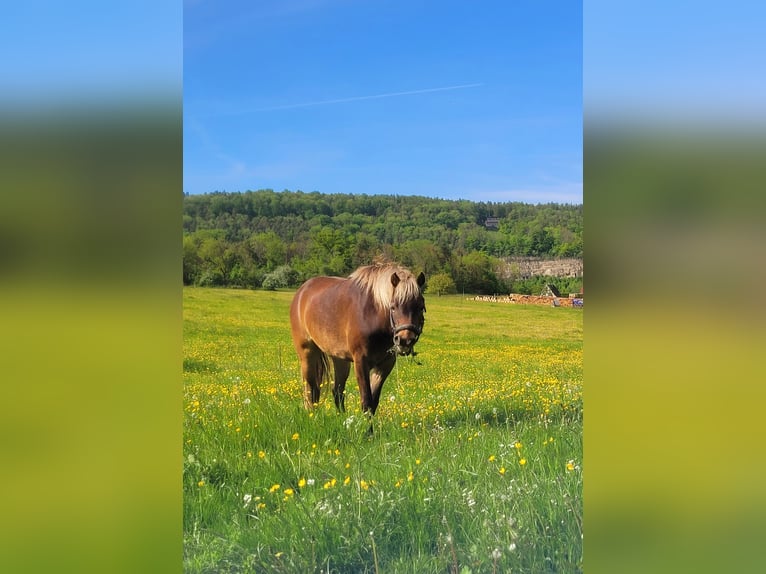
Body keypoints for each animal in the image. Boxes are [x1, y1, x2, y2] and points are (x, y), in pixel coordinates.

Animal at [289, 263, 426, 417]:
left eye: (421, 307)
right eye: (393, 307)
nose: (405, 340)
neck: (372, 314)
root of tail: (302, 291)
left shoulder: (386, 364)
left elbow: (373, 401)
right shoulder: (361, 362)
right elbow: (366, 401)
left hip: (339, 358)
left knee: (337, 391)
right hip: (307, 353)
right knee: (310, 389)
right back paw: (312, 415)